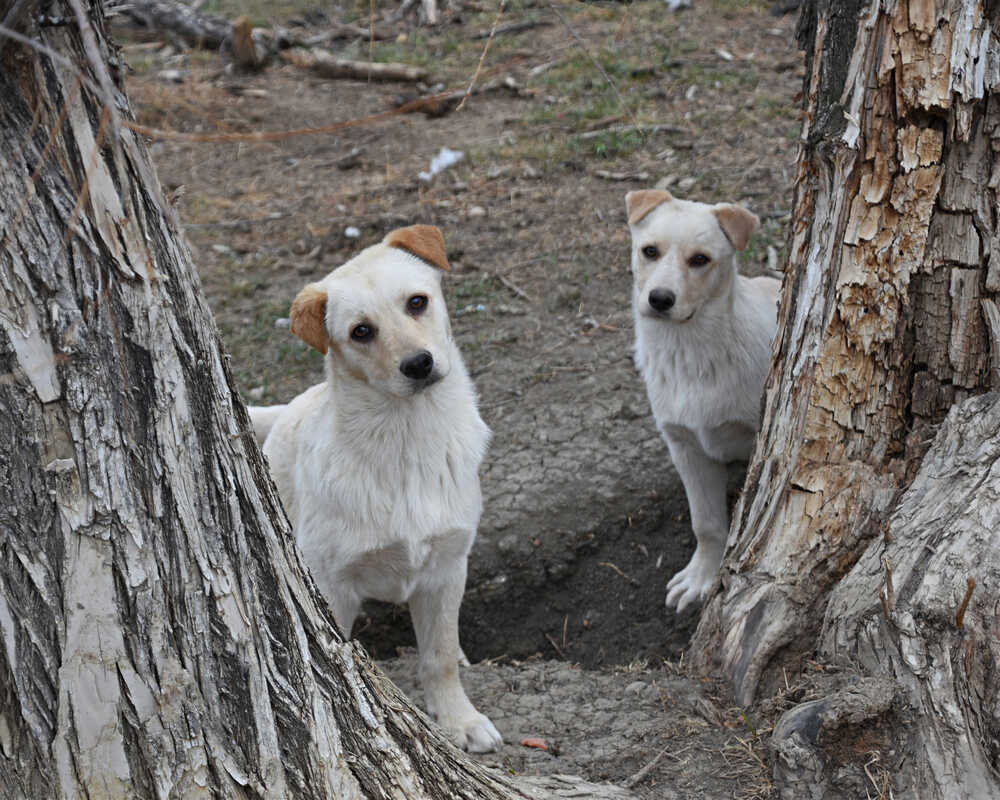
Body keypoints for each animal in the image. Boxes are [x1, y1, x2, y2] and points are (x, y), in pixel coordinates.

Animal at [250, 228, 500, 752]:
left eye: (417, 302)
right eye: (361, 332)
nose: (419, 364)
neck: (406, 442)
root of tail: (290, 407)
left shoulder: (447, 567)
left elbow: (438, 656)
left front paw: (459, 719)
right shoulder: (330, 585)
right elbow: (336, 660)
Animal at [624, 192, 780, 612]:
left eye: (699, 259)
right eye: (649, 251)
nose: (659, 299)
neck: (689, 351)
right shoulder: (685, 446)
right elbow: (706, 524)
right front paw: (702, 577)